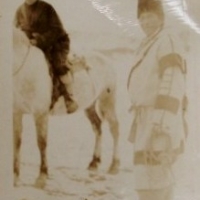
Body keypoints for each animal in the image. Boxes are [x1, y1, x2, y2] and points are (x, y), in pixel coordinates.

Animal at [13, 27, 119, 188]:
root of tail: (105, 59)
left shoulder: (40, 114)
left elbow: (41, 142)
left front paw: (42, 177)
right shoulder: (16, 113)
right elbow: (17, 142)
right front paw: (15, 176)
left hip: (107, 101)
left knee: (114, 129)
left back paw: (114, 165)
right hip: (89, 105)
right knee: (97, 127)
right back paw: (94, 162)